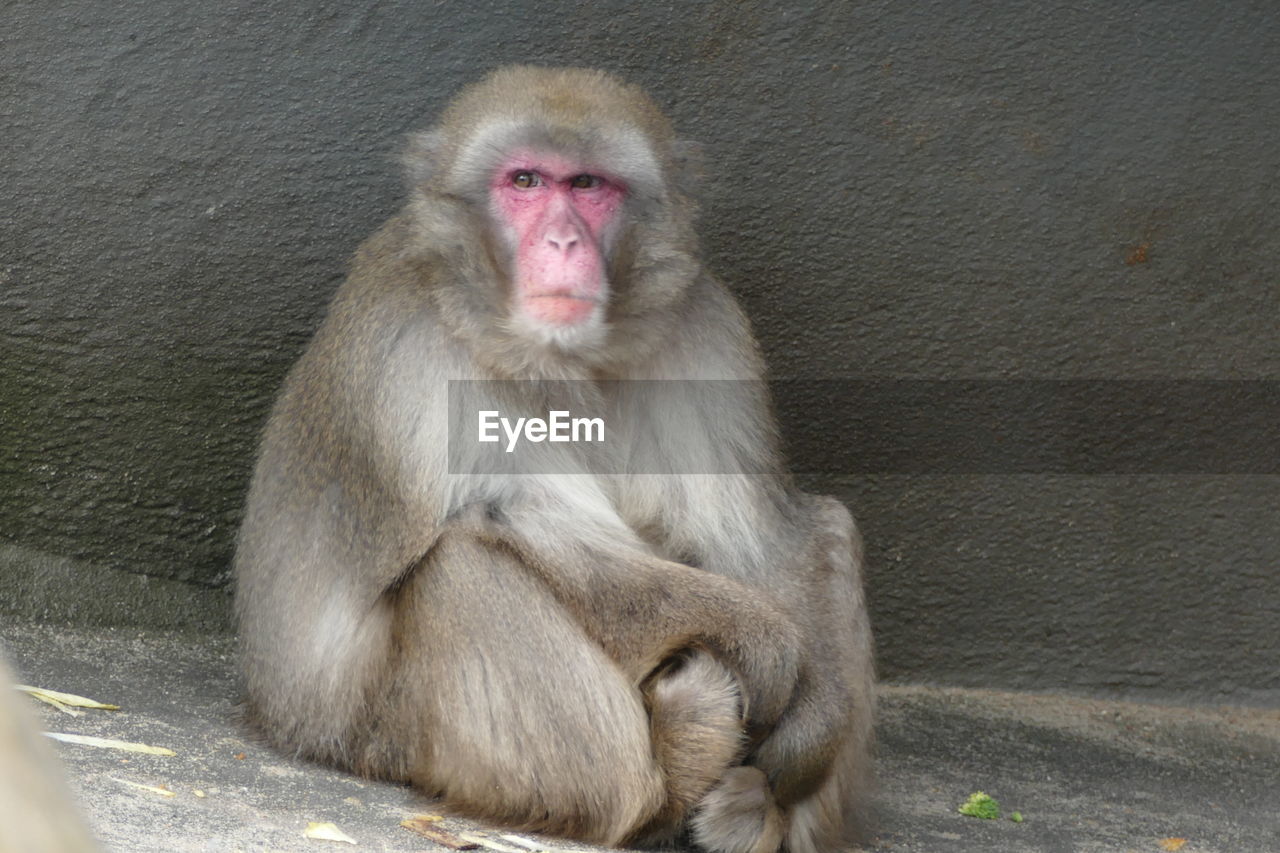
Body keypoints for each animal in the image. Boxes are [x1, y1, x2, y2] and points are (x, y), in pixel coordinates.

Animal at [232, 68, 870, 850]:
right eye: (526, 181)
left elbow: (764, 536)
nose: (564, 241)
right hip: (377, 736)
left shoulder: (708, 330)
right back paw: (664, 781)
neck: (563, 361)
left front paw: (809, 733)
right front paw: (766, 644)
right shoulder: (409, 344)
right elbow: (528, 522)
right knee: (462, 563)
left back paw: (758, 813)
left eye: (589, 184)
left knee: (831, 528)